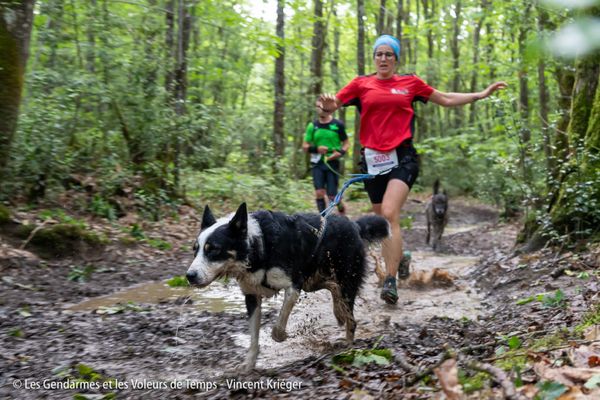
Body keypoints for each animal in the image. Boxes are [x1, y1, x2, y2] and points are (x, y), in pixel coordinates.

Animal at [186, 203, 390, 372]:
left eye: (213, 249)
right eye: (195, 250)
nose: (189, 276)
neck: (258, 246)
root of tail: (354, 225)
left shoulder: (293, 286)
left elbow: (277, 326)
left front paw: (282, 336)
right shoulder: (251, 296)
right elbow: (253, 337)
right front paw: (249, 364)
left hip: (346, 280)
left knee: (351, 318)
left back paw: (348, 344)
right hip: (312, 280)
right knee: (332, 286)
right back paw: (338, 313)